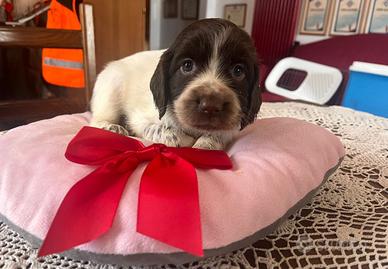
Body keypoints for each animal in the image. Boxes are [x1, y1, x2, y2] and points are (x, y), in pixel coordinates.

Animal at [89, 18, 262, 150]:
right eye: (187, 65)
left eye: (238, 71)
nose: (211, 105)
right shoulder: (139, 119)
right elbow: (161, 130)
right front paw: (181, 137)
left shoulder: (230, 128)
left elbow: (217, 135)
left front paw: (205, 144)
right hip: (111, 88)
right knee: (95, 121)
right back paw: (113, 127)